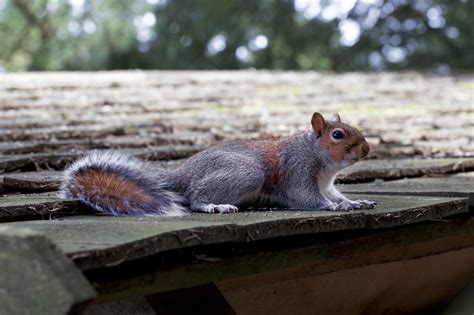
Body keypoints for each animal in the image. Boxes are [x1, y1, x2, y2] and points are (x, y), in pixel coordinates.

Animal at [61, 113, 376, 217]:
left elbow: (335, 194)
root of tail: (183, 173)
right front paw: (334, 207)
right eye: (337, 135)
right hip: (247, 173)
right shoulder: (297, 171)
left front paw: (354, 201)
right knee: (194, 198)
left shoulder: (327, 183)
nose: (366, 148)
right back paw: (214, 205)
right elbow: (308, 198)